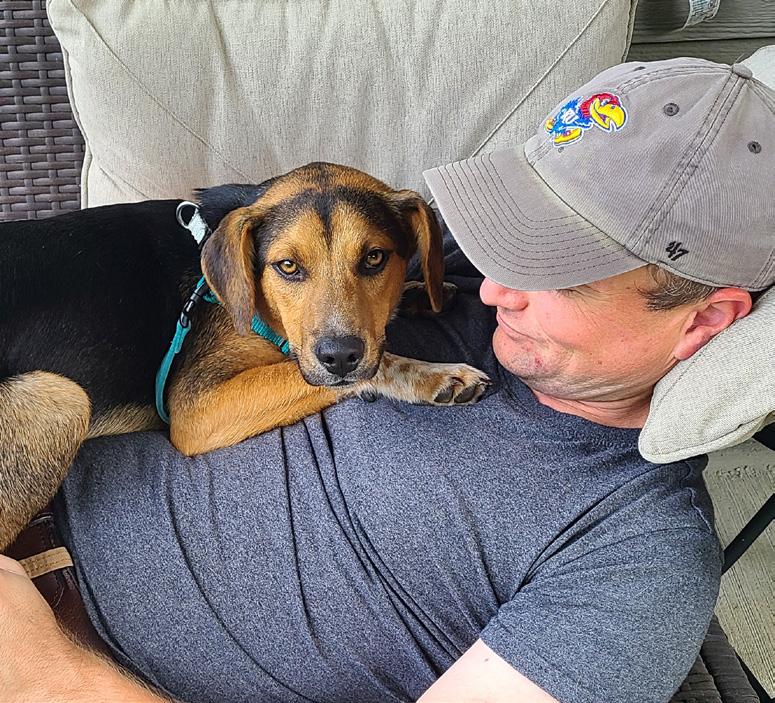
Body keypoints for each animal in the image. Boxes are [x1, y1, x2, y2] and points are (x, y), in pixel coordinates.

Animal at [0, 162, 489, 549]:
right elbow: (353, 365)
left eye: (374, 258)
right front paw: (433, 375)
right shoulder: (195, 409)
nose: (340, 357)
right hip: (60, 399)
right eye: (287, 266)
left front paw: (420, 293)